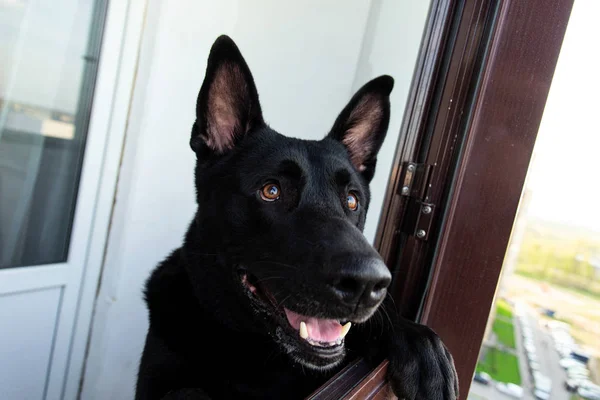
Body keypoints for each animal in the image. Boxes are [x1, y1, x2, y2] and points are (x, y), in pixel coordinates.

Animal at [135, 36, 454, 398]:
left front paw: (418, 342)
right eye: (271, 191)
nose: (367, 284)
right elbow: (187, 391)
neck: (259, 357)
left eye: (352, 200)